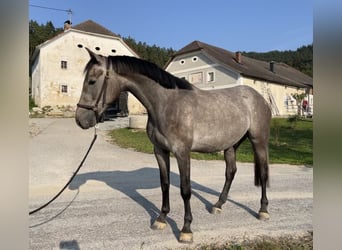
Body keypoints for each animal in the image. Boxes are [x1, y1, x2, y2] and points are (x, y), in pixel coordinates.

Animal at [76, 47, 272, 243]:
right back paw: (218, 205)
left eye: (92, 81)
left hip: (259, 141)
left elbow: (185, 190)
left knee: (262, 173)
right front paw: (161, 219)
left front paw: (186, 229)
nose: (80, 120)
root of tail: (260, 98)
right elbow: (165, 184)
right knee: (230, 172)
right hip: (231, 145)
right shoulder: (160, 151)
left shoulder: (182, 152)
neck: (167, 104)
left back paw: (263, 210)